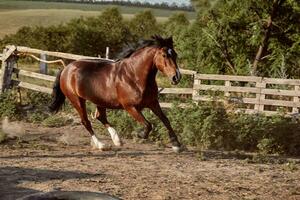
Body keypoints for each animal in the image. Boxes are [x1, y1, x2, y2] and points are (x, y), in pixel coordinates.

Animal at [48, 35, 183, 152]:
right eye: (164, 55)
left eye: (175, 54)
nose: (176, 77)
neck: (134, 75)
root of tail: (66, 69)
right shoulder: (130, 107)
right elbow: (148, 125)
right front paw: (138, 135)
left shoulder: (153, 103)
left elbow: (165, 120)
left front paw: (176, 145)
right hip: (77, 100)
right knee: (86, 121)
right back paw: (101, 145)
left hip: (99, 100)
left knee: (100, 117)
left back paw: (117, 140)